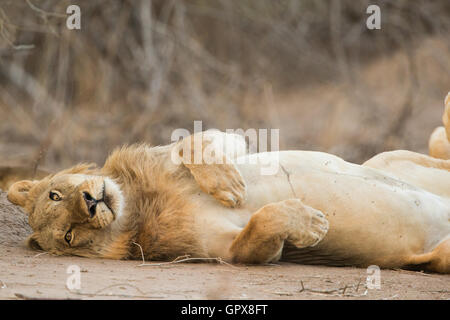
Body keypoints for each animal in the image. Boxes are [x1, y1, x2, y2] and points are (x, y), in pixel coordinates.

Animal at [7, 92, 450, 272]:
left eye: (56, 193)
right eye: (68, 236)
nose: (90, 204)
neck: (137, 203)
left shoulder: (223, 144)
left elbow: (195, 142)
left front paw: (228, 186)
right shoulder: (220, 249)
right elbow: (258, 227)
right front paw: (310, 223)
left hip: (389, 159)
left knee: (436, 144)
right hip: (441, 256)